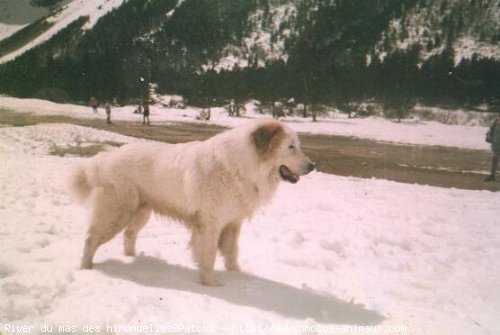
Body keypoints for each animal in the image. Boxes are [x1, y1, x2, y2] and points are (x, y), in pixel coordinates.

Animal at [71, 119, 312, 284]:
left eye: (298, 146)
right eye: (291, 147)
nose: (313, 166)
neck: (242, 166)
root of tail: (105, 158)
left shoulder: (232, 222)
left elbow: (231, 251)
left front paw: (237, 276)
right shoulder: (210, 223)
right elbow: (209, 253)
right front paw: (212, 284)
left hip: (140, 212)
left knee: (129, 234)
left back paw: (134, 258)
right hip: (116, 213)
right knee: (91, 239)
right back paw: (86, 268)